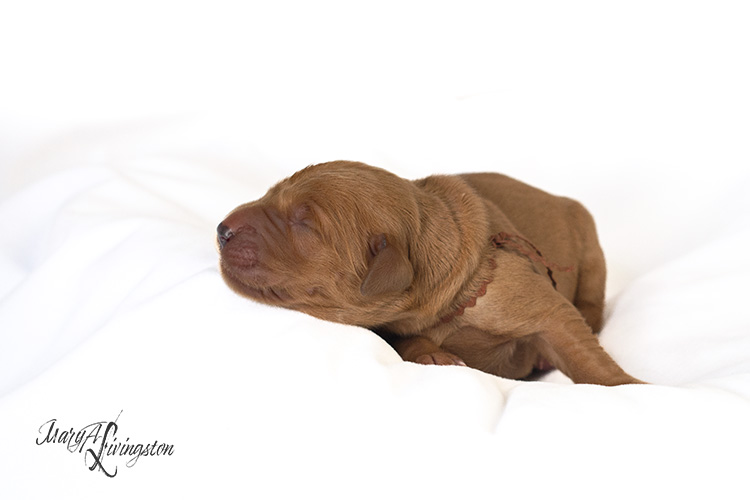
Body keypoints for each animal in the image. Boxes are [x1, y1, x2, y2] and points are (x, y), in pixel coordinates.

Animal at [216, 161, 640, 386]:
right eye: (272, 193)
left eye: (304, 223)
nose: (222, 229)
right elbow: (408, 342)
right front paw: (434, 356)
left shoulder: (537, 305)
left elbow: (584, 352)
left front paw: (631, 388)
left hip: (588, 239)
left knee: (591, 303)